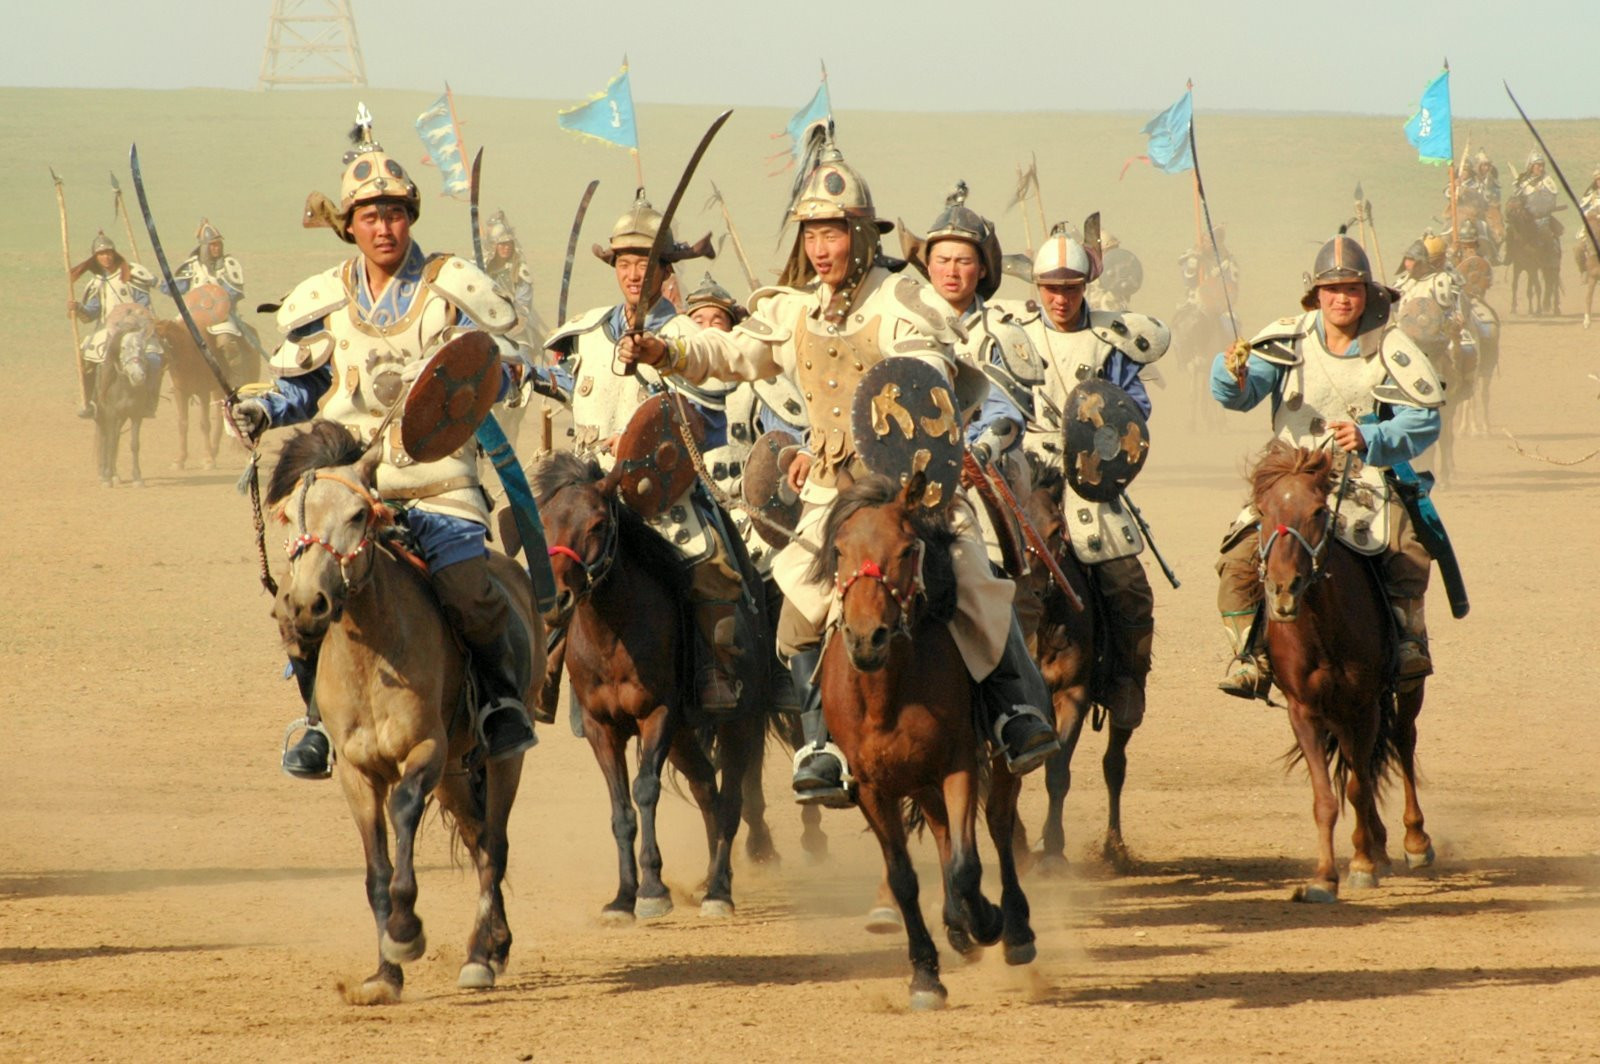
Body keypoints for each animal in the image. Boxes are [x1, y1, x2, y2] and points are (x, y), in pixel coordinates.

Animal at [264, 419, 537, 998]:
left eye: (357, 514)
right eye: (292, 517)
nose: (306, 606)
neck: (372, 659)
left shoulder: (424, 749)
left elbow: (406, 810)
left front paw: (406, 932)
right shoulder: (356, 772)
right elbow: (377, 870)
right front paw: (385, 972)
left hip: (500, 759)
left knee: (495, 842)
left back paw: (480, 956)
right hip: (457, 771)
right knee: (479, 841)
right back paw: (493, 944)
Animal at [531, 451, 768, 928]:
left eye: (598, 524)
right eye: (544, 522)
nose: (558, 600)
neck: (614, 635)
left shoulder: (657, 716)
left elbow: (644, 791)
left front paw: (653, 890)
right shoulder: (601, 727)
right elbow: (621, 810)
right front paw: (623, 897)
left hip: (739, 725)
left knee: (732, 800)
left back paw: (720, 890)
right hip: (683, 738)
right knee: (708, 791)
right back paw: (712, 879)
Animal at [812, 470, 1036, 1004]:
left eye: (907, 549)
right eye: (840, 551)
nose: (866, 639)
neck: (886, 696)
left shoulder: (958, 765)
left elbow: (967, 865)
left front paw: (987, 920)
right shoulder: (871, 787)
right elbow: (904, 877)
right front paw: (925, 973)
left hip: (991, 764)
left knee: (998, 825)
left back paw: (1013, 928)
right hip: (917, 779)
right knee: (940, 831)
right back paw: (956, 923)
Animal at [1241, 438, 1433, 896]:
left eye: (1316, 511)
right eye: (1263, 511)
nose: (1283, 590)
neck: (1323, 628)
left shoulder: (1364, 705)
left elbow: (1358, 787)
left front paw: (1361, 865)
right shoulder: (1305, 712)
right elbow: (1326, 798)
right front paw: (1325, 878)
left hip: (1402, 690)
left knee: (1403, 739)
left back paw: (1413, 841)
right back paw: (1379, 846)